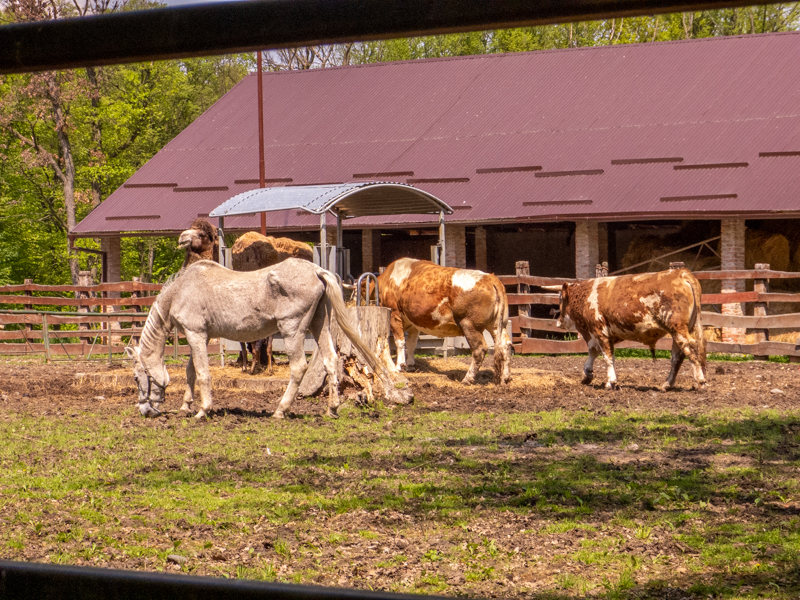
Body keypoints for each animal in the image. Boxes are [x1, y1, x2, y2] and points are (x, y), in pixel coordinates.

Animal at [126, 258, 401, 419]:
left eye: (137, 377)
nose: (144, 411)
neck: (181, 291)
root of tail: (316, 270)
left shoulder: (195, 334)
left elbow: (202, 373)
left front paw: (203, 410)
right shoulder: (200, 338)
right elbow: (191, 371)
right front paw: (186, 405)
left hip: (292, 330)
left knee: (298, 367)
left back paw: (281, 410)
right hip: (319, 324)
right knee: (331, 361)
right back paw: (332, 409)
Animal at [368, 258, 513, 385]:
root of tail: (490, 278)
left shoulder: (394, 314)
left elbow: (400, 341)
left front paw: (399, 366)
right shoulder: (414, 322)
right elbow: (411, 343)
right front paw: (410, 365)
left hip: (470, 325)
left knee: (479, 349)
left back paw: (467, 379)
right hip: (498, 325)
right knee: (505, 345)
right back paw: (505, 378)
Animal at [554, 268, 706, 391]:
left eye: (561, 298)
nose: (558, 322)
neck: (587, 295)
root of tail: (681, 273)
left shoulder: (600, 330)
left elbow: (607, 357)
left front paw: (610, 382)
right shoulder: (600, 334)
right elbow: (594, 352)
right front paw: (587, 374)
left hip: (678, 329)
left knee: (690, 348)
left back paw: (700, 381)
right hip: (679, 331)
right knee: (677, 356)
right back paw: (667, 384)